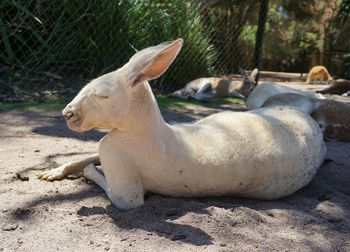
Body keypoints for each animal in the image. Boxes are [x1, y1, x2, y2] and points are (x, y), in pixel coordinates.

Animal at [37, 39, 326, 209]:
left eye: (103, 96)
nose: (67, 114)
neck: (144, 130)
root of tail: (312, 124)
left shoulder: (123, 177)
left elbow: (122, 197)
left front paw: (88, 173)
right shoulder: (110, 147)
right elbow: (85, 156)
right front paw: (53, 171)